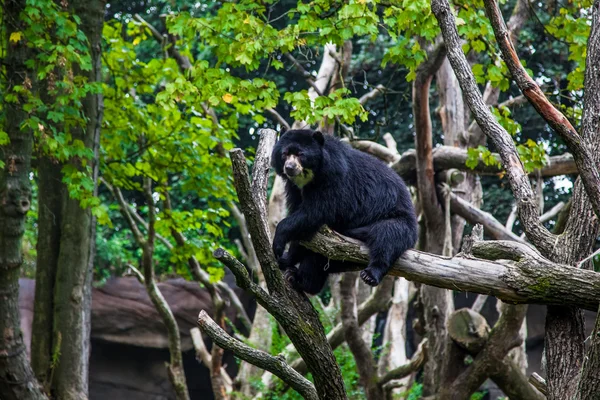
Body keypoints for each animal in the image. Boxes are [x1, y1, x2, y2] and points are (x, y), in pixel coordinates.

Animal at [272, 129, 418, 294]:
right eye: (285, 154)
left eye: (300, 154)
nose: (289, 167)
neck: (308, 178)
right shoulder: (294, 188)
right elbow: (302, 226)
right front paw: (285, 258)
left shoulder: (334, 179)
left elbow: (315, 212)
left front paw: (278, 244)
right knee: (316, 259)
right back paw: (299, 279)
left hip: (399, 220)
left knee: (388, 237)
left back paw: (370, 274)